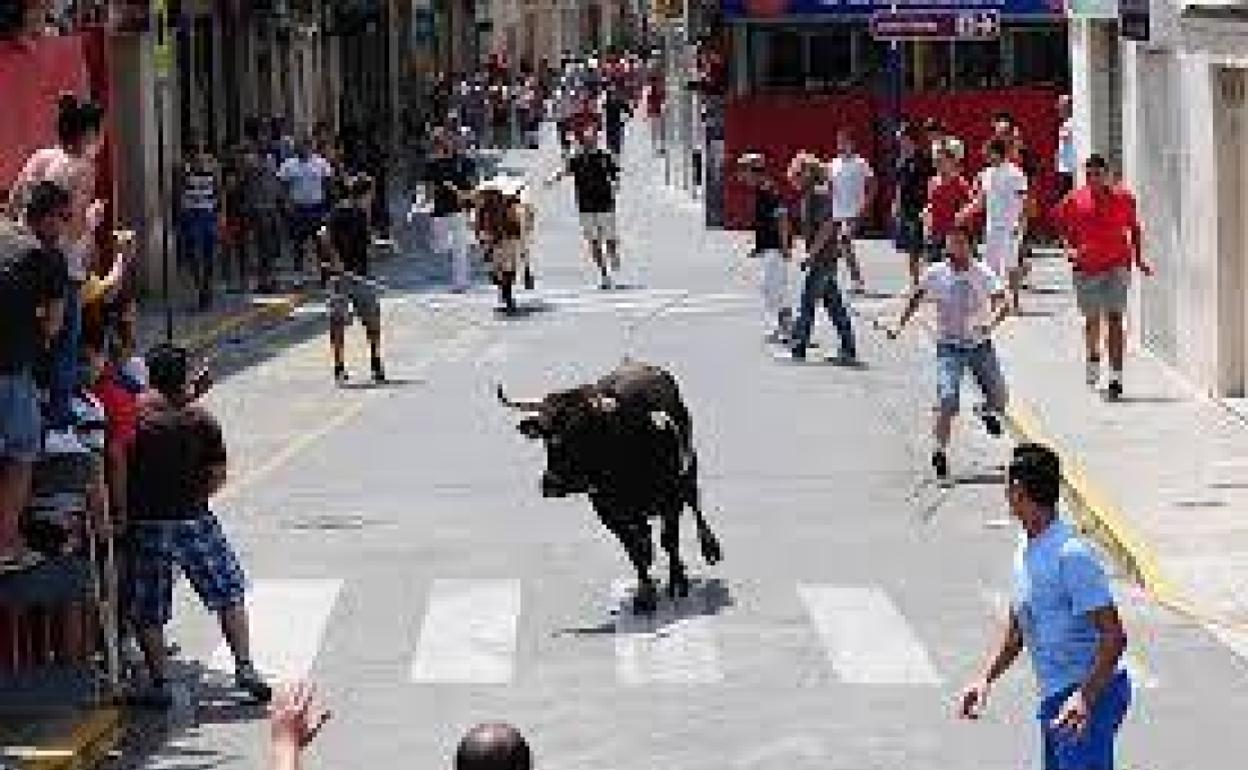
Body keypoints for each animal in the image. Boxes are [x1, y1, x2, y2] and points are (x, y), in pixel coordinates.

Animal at [499, 359, 723, 611]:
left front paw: (678, 582)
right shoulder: (608, 513)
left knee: (694, 501)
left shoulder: (671, 500)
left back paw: (711, 547)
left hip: (690, 463)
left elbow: (669, 540)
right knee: (645, 534)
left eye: (582, 427)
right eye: (545, 434)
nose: (552, 483)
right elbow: (634, 549)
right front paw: (645, 594)